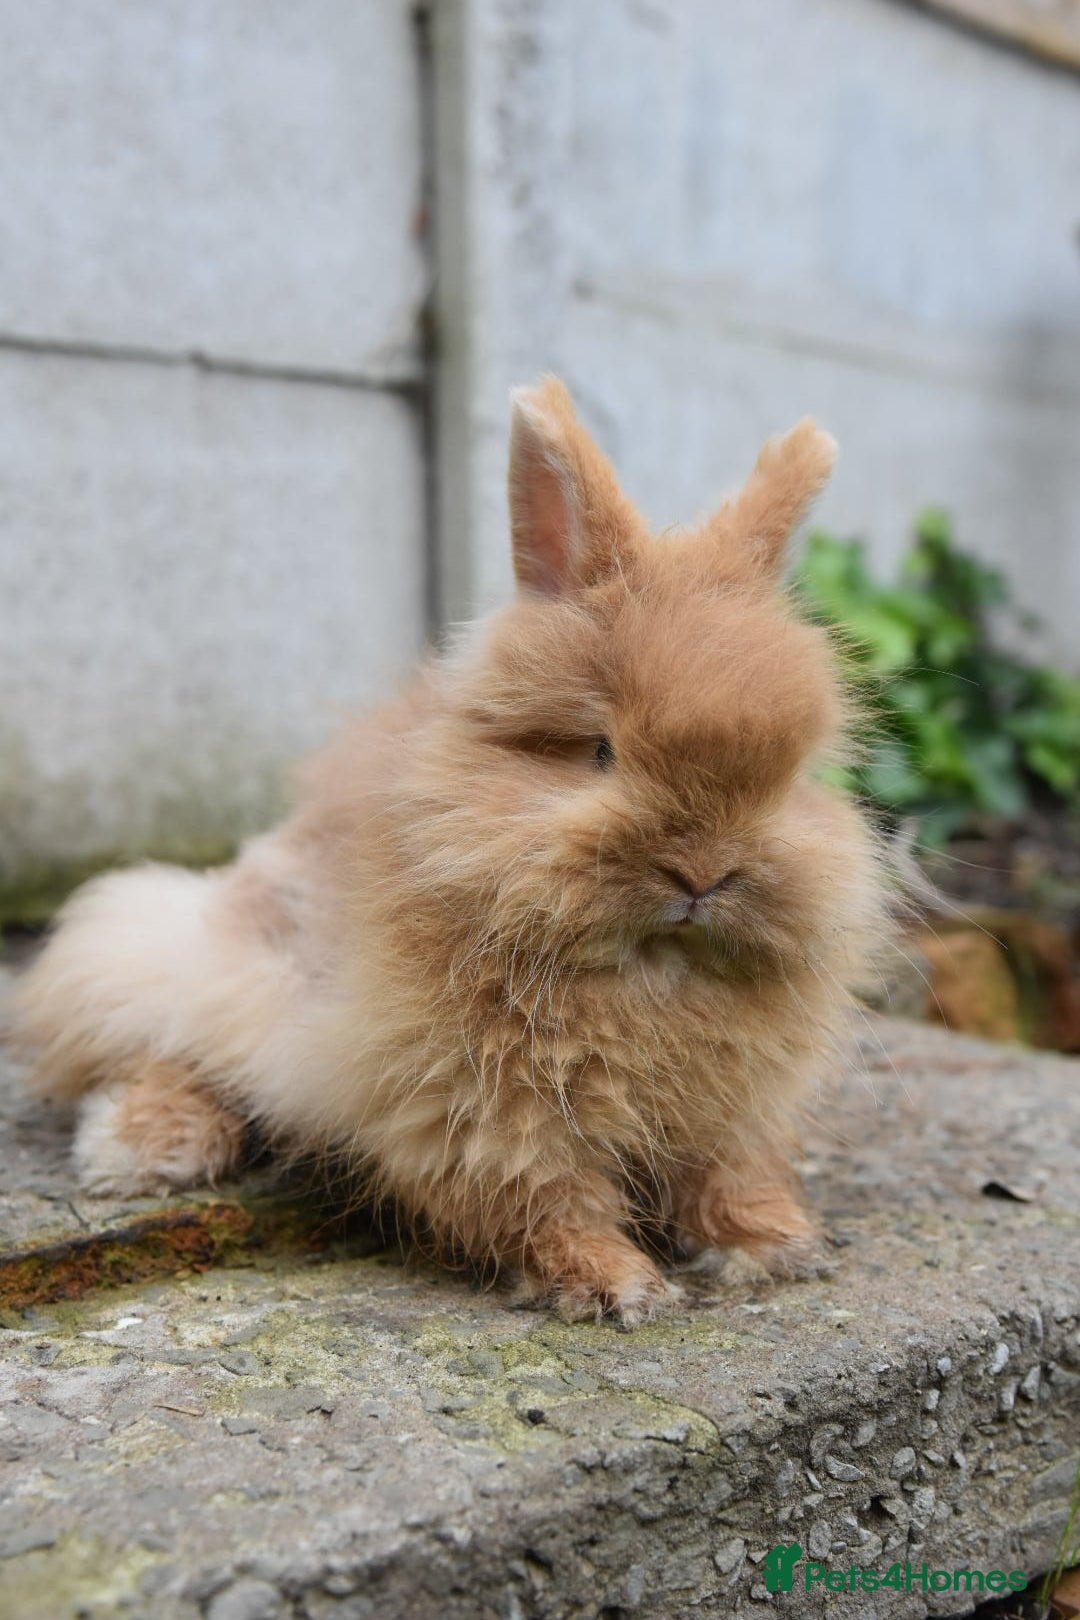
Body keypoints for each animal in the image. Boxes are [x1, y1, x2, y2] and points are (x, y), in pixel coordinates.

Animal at [15, 376, 888, 1324]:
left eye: (785, 776)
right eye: (601, 751)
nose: (703, 871)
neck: (652, 971)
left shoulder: (733, 1110)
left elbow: (730, 1174)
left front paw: (776, 1246)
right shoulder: (480, 1110)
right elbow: (546, 1198)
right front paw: (613, 1286)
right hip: (214, 967)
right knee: (165, 1044)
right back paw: (137, 1150)